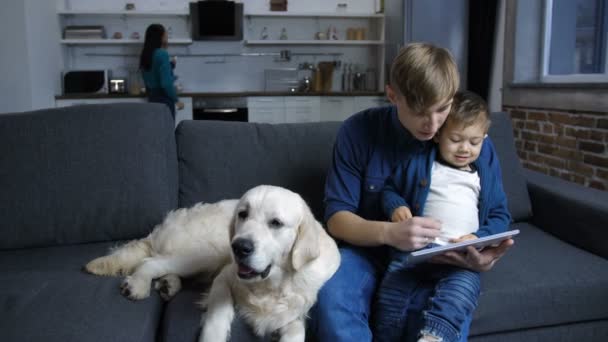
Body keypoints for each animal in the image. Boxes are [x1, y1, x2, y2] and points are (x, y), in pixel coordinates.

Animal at [84, 186, 342, 340]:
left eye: (276, 223)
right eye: (243, 214)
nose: (239, 247)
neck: (269, 285)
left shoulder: (295, 313)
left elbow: (296, 331)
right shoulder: (225, 276)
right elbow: (217, 316)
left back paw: (168, 285)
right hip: (208, 251)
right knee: (151, 262)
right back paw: (138, 285)